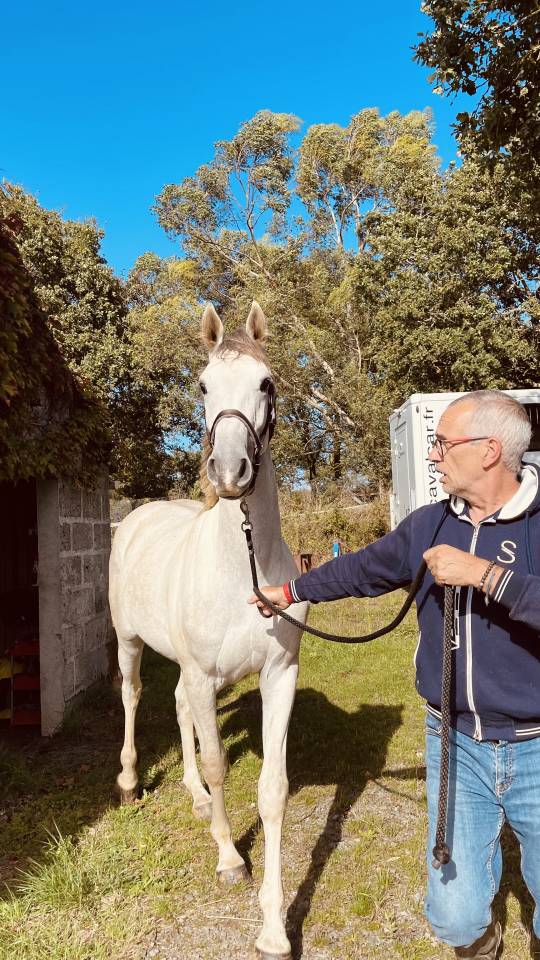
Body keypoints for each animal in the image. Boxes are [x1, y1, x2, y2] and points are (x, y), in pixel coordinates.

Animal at [109, 301, 308, 960]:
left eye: (266, 383)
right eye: (201, 385)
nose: (228, 471)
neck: (240, 565)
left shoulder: (278, 677)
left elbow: (272, 789)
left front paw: (273, 927)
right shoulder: (201, 673)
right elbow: (221, 765)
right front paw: (229, 859)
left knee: (177, 707)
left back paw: (194, 797)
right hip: (129, 644)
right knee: (134, 696)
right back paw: (128, 780)